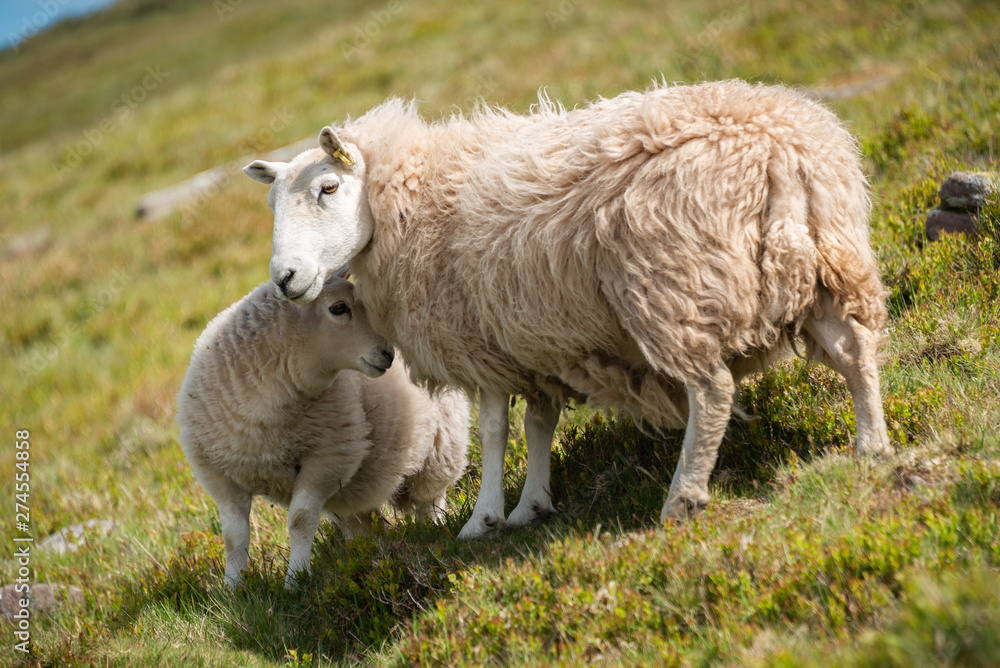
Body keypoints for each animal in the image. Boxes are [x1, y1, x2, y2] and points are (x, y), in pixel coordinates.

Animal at [176, 276, 470, 587]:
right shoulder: (217, 474)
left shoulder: (327, 459)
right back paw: (361, 555)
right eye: (338, 307)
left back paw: (435, 530)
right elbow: (234, 537)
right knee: (358, 522)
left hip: (441, 448)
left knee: (430, 499)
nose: (388, 354)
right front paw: (233, 588)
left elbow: (300, 521)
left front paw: (295, 581)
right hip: (353, 487)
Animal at [242, 79, 892, 541]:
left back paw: (682, 497)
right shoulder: (532, 342)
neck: (411, 197)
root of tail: (775, 149)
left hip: (673, 289)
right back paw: (872, 446)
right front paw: (532, 504)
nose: (286, 279)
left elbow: (496, 430)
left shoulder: (481, 341)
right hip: (829, 263)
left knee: (713, 391)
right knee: (854, 351)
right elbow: (539, 424)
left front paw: (483, 519)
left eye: (327, 189)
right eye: (272, 205)